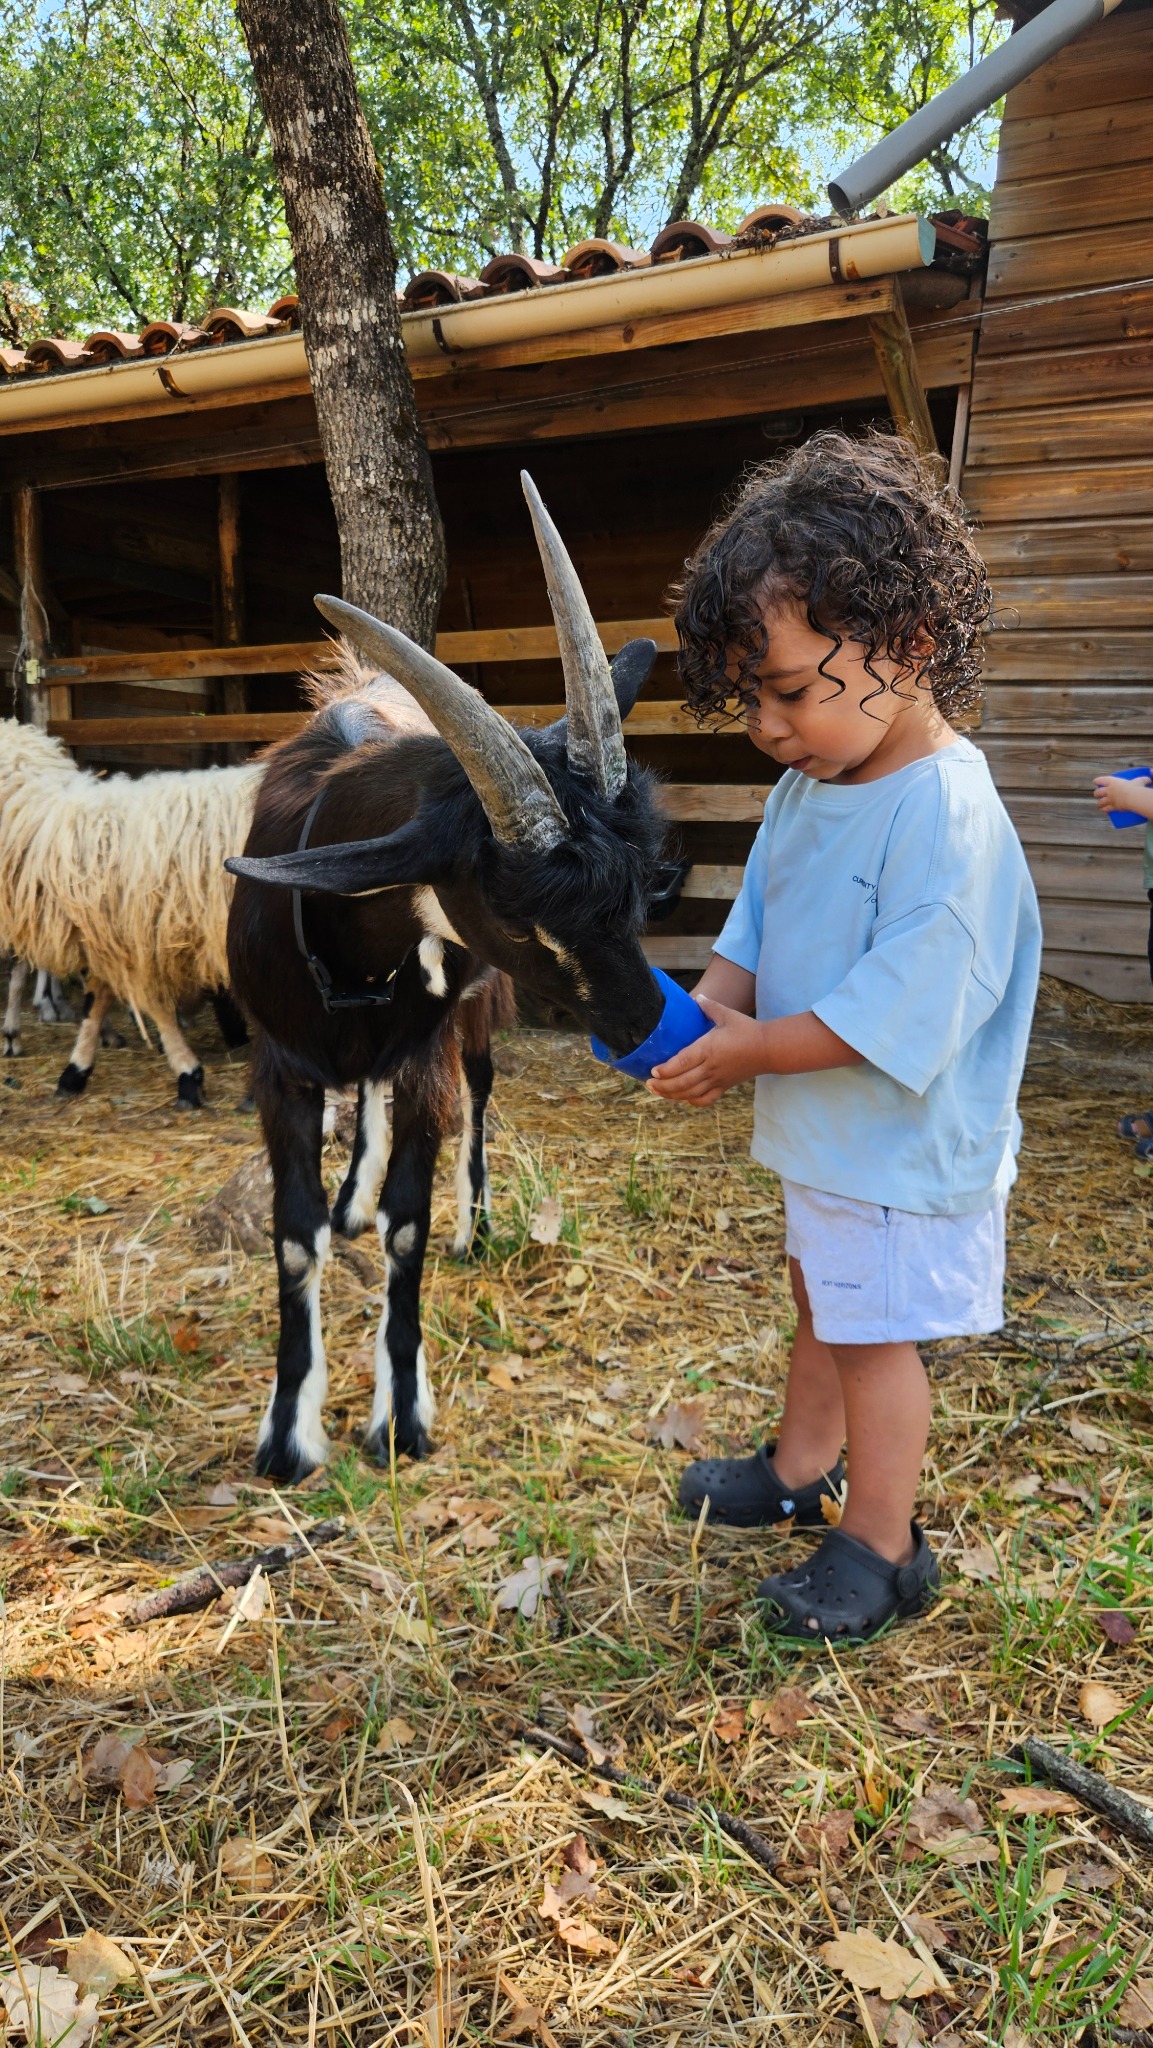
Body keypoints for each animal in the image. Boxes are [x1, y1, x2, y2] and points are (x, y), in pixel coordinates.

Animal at [0, 721, 262, 1104]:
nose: (238, 1038)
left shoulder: (133, 937)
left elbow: (146, 1003)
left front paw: (188, 1073)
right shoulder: (114, 935)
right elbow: (97, 1000)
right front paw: (77, 1069)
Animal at [226, 473, 666, 1482]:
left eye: (637, 883)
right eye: (512, 905)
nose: (643, 1020)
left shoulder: (427, 1042)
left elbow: (409, 1223)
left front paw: (399, 1416)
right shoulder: (278, 1064)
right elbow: (296, 1236)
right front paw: (288, 1432)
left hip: (466, 1021)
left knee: (473, 1094)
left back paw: (478, 1220)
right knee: (366, 1099)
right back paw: (354, 1190)